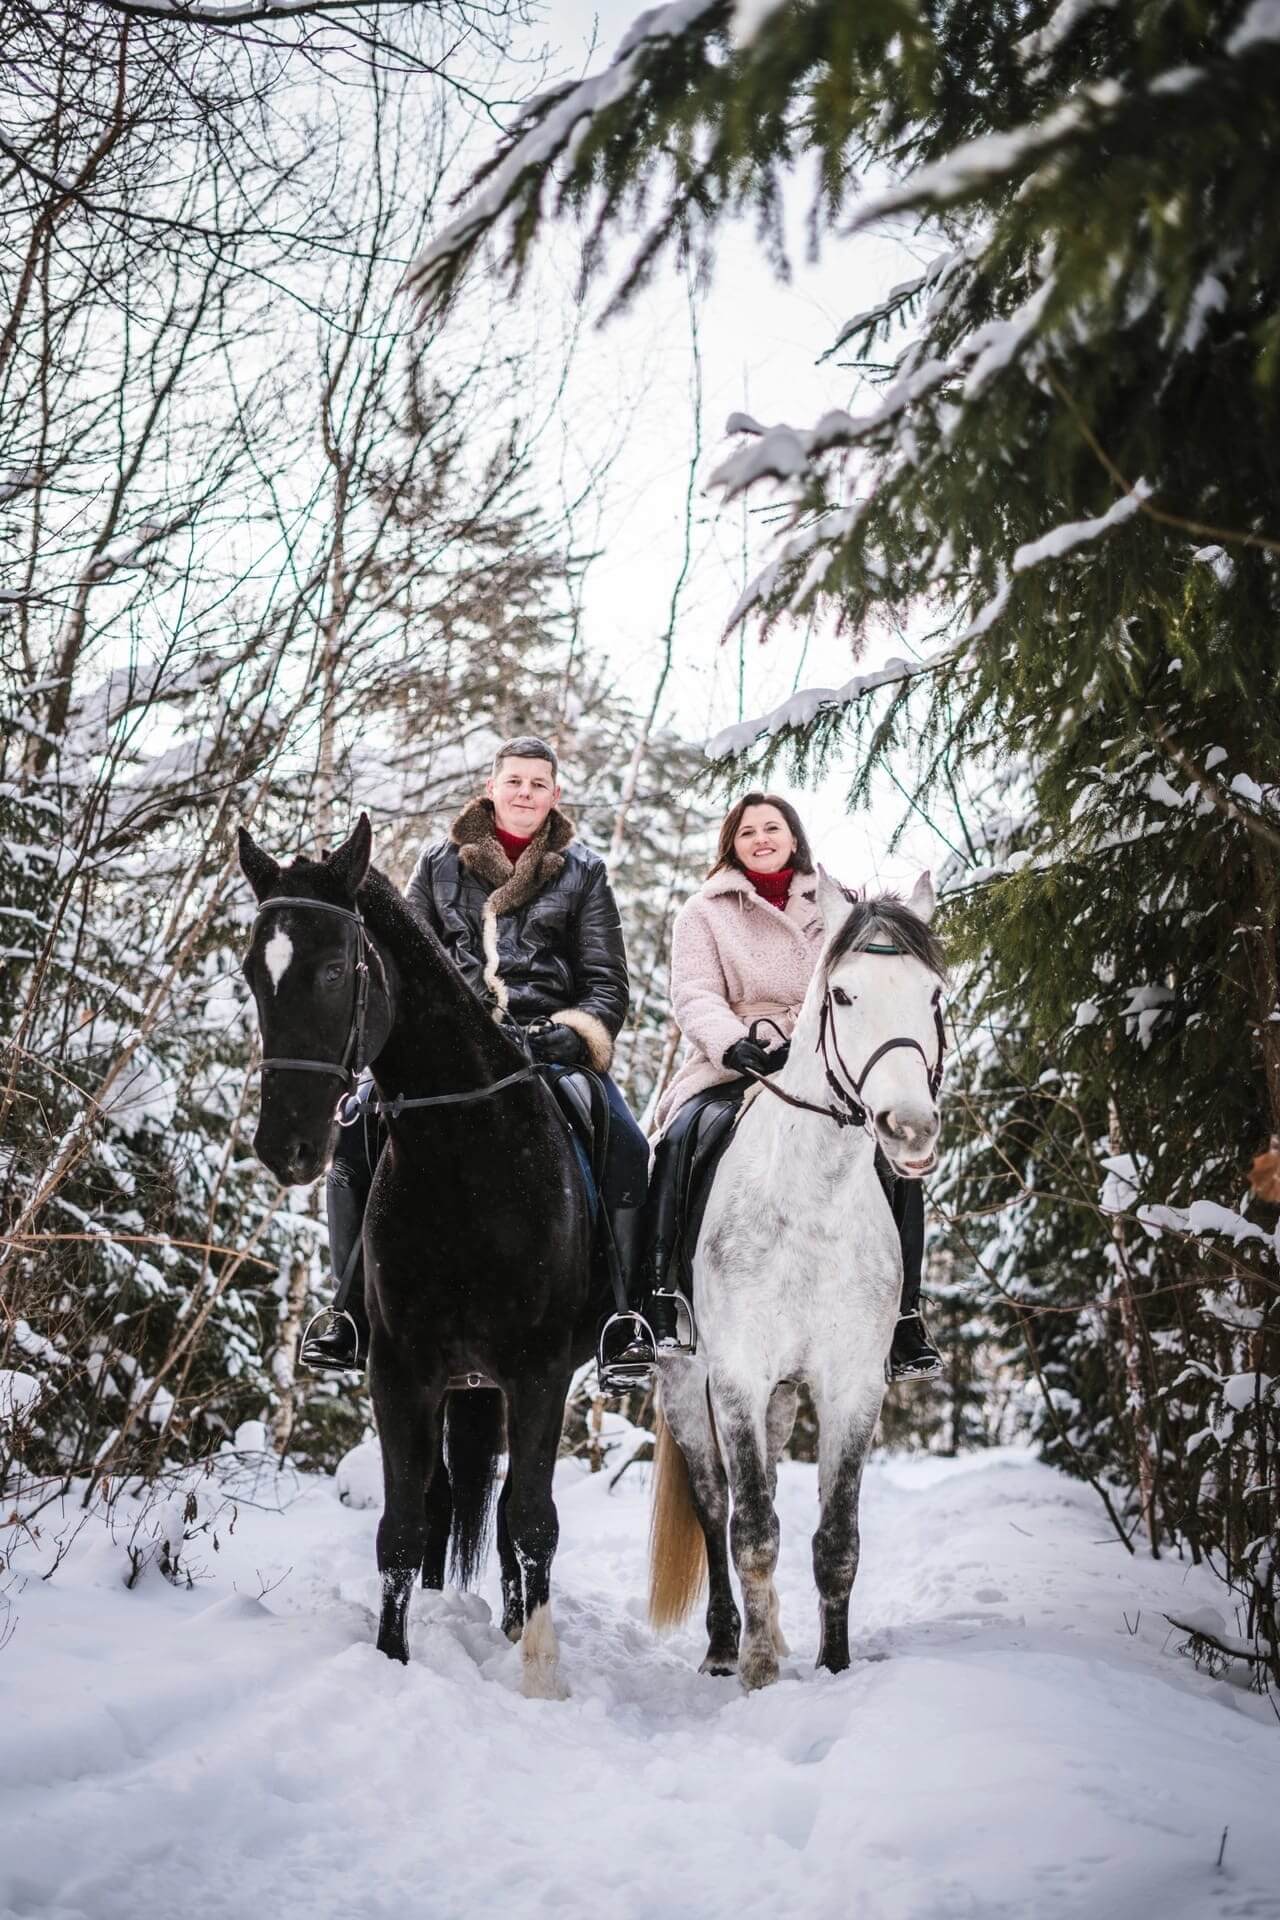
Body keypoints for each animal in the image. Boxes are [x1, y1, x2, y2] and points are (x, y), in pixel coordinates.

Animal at [238, 817, 594, 1689]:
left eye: (337, 969)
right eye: (253, 974)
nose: (285, 1146)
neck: (466, 1156)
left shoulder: (540, 1371)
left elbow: (532, 1520)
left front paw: (541, 1675)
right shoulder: (400, 1371)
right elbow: (403, 1525)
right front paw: (392, 1659)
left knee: (512, 1509)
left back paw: (516, 1627)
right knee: (446, 1503)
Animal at [652, 864, 940, 1689]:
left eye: (934, 995)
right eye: (842, 995)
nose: (910, 1129)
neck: (812, 1202)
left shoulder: (852, 1386)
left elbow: (836, 1541)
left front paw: (832, 1667)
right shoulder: (737, 1379)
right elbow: (750, 1528)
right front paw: (756, 1674)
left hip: (781, 1397)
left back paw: (771, 1634)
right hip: (684, 1383)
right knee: (715, 1505)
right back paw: (726, 1646)